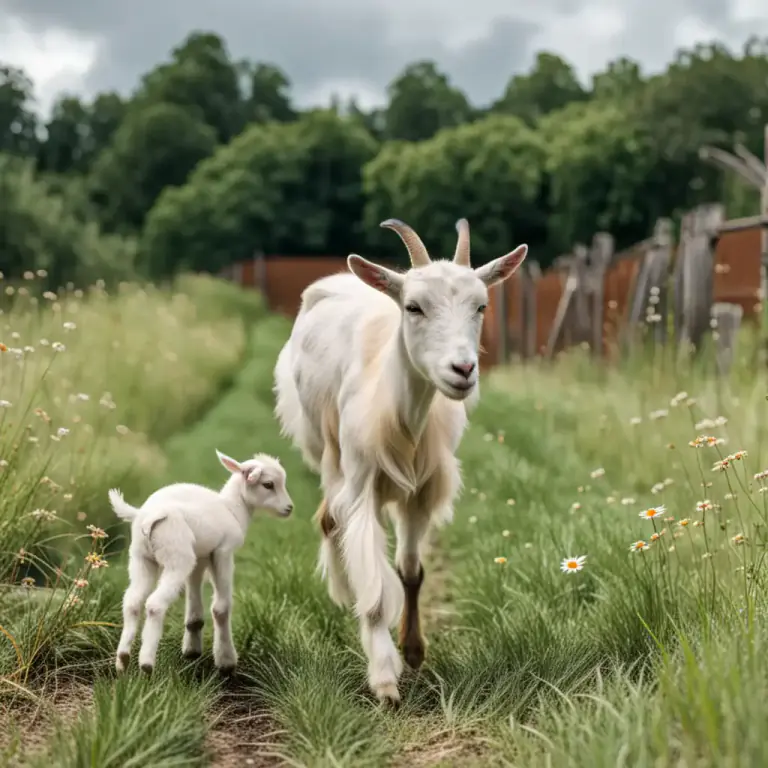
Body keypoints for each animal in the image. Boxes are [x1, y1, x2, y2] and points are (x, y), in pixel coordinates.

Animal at [110, 450, 293, 675]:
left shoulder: (201, 558)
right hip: (178, 558)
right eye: (268, 484)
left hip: (141, 558)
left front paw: (191, 650)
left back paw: (123, 660)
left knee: (132, 601)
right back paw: (146, 664)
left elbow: (195, 608)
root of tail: (148, 515)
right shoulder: (223, 551)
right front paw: (226, 661)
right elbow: (221, 608)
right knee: (154, 604)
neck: (233, 510)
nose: (289, 508)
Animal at [273, 218, 527, 704]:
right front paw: (384, 678)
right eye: (414, 307)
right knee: (329, 519)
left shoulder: (421, 491)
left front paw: (412, 649)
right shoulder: (363, 485)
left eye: (481, 306)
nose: (463, 370)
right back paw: (341, 588)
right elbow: (372, 582)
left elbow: (410, 572)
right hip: (326, 449)